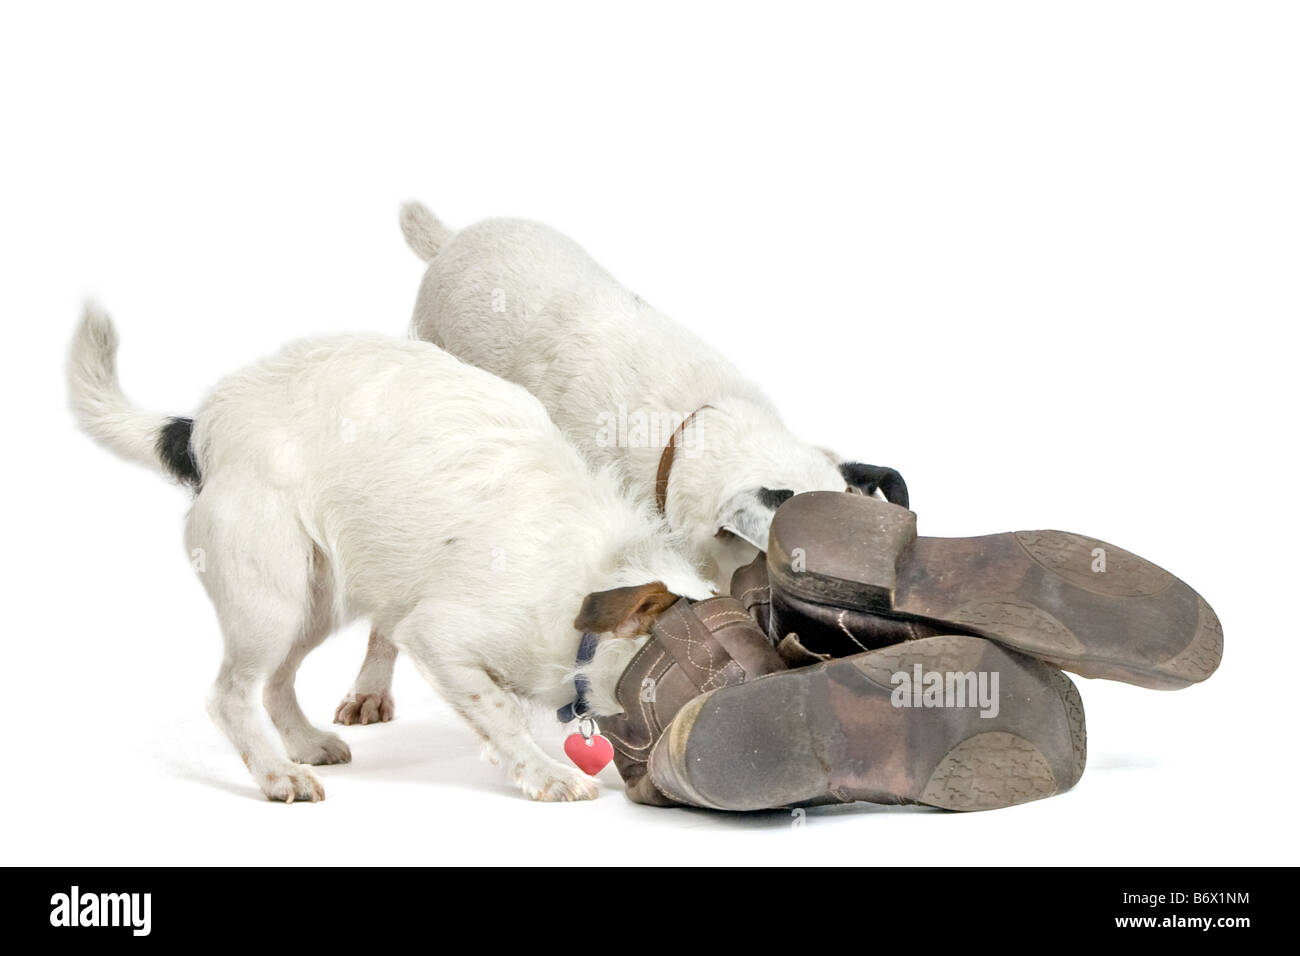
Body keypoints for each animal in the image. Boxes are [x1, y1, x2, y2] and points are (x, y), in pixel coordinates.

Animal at [68, 306, 712, 801]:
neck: (597, 581)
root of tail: (201, 427)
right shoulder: (437, 637)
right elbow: (500, 711)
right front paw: (546, 773)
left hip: (315, 598)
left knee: (275, 683)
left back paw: (303, 744)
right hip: (270, 599)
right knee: (230, 695)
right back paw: (277, 774)